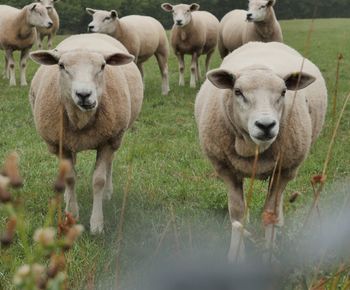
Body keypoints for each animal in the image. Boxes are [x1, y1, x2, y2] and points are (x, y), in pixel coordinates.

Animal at [29, 33, 144, 233]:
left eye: (103, 66)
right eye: (61, 65)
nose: (84, 94)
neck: (81, 119)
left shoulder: (107, 140)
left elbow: (98, 180)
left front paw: (97, 224)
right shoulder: (62, 143)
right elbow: (70, 178)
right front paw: (71, 215)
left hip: (116, 136)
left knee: (110, 164)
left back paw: (107, 193)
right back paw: (67, 197)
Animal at [196, 42, 326, 262]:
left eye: (283, 92)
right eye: (237, 91)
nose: (265, 125)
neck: (253, 147)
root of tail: (264, 43)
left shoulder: (284, 170)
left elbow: (270, 212)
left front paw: (269, 255)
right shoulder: (226, 169)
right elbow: (237, 214)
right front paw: (236, 256)